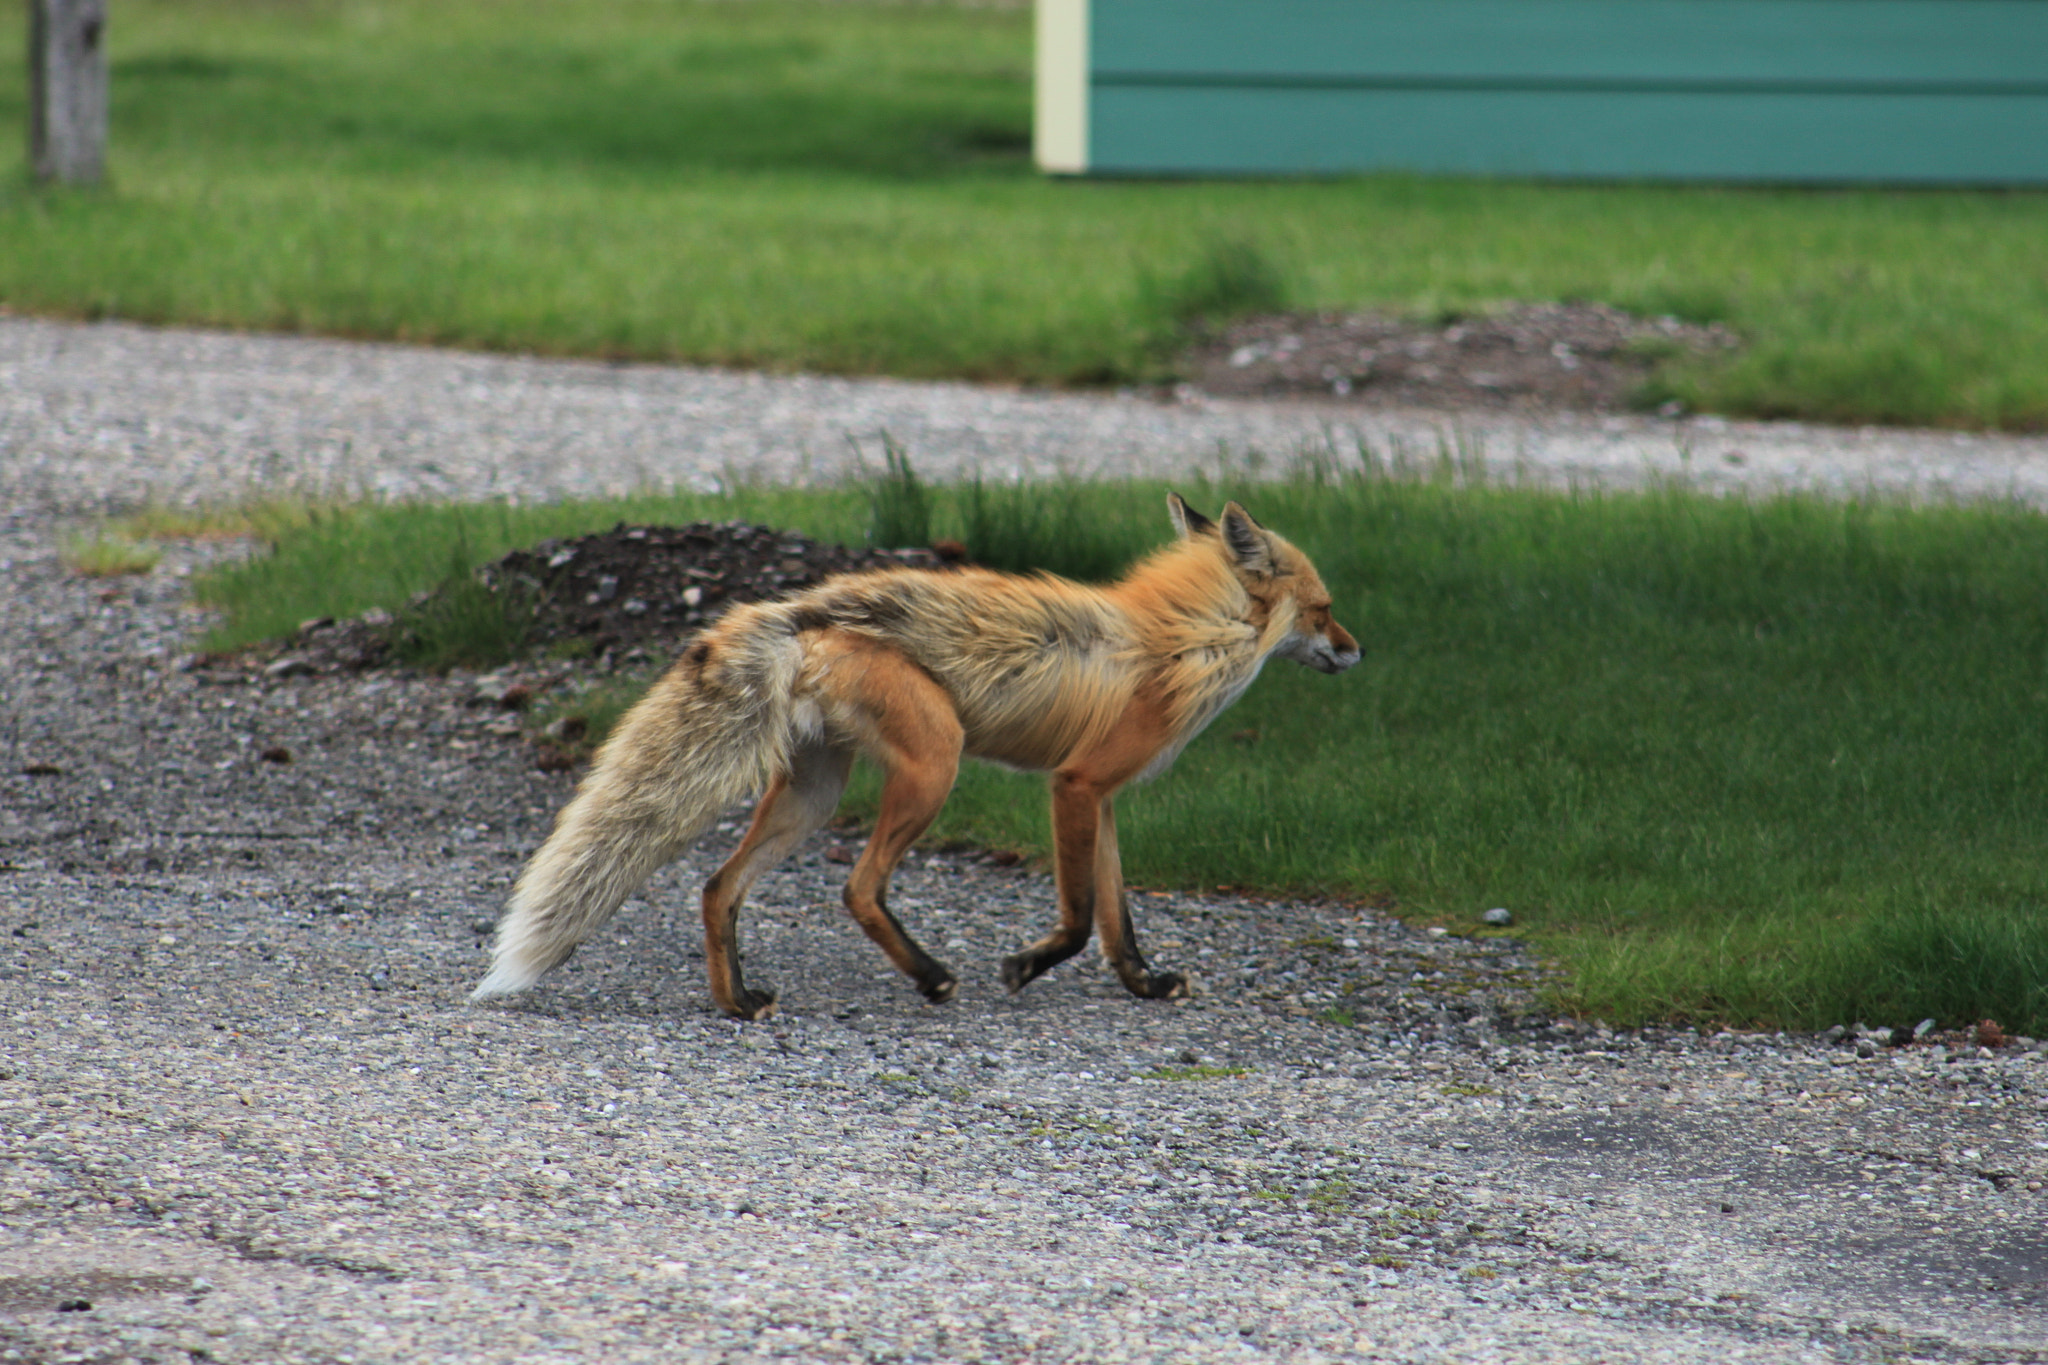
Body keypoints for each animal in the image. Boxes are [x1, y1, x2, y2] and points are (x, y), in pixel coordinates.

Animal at [471, 497, 1351, 1019]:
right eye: (1325, 608)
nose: (1358, 649)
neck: (1184, 639)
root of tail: (801, 610)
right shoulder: (1075, 784)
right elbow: (1076, 920)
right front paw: (1024, 967)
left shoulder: (1100, 796)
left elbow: (1116, 918)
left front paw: (1146, 983)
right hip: (935, 766)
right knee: (858, 888)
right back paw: (929, 975)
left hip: (816, 794)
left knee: (719, 886)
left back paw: (738, 1001)